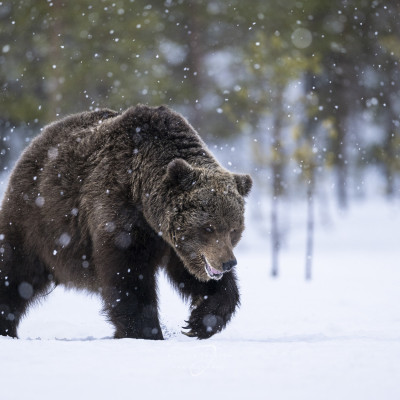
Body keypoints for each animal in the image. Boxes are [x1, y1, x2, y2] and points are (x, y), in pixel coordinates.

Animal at [0, 104, 250, 340]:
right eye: (208, 227)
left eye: (233, 229)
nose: (228, 263)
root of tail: (38, 140)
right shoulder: (119, 214)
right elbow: (129, 278)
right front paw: (146, 332)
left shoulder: (175, 244)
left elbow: (196, 277)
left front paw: (201, 321)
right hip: (36, 222)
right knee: (16, 272)